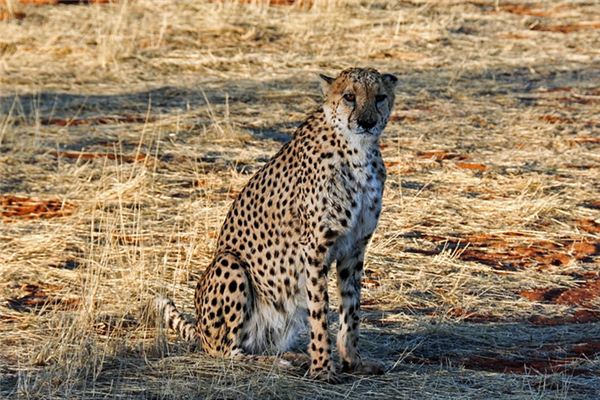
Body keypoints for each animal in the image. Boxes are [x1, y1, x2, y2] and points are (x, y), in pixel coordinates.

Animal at [157, 67, 396, 382]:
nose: (367, 122)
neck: (357, 151)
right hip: (229, 263)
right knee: (225, 351)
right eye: (349, 96)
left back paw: (293, 356)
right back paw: (278, 362)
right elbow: (320, 310)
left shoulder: (354, 247)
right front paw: (322, 368)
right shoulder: (315, 248)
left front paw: (352, 361)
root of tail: (199, 330)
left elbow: (351, 308)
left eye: (379, 97)